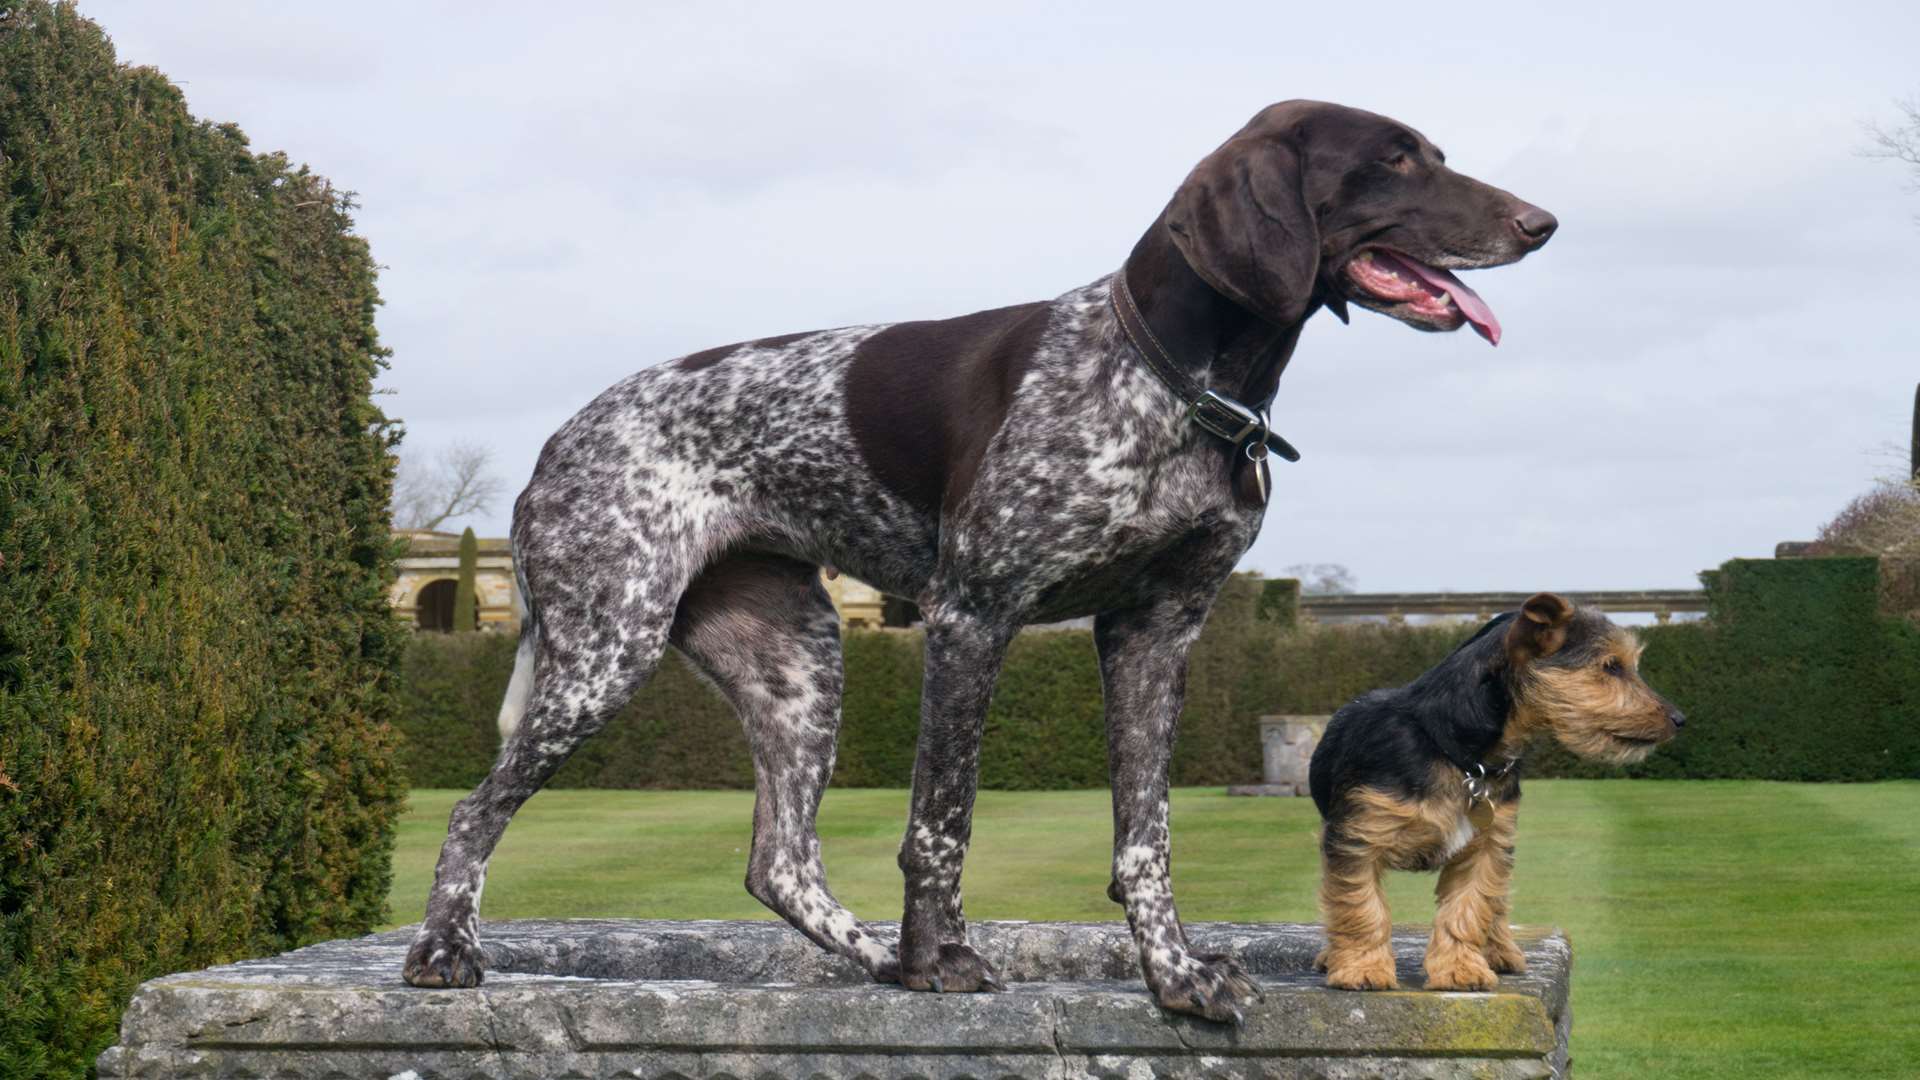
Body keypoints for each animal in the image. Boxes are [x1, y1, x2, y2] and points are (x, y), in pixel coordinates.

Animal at [405, 98, 1559, 1014]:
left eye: (1431, 152)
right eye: (1395, 160)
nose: (1542, 223)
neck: (1175, 378)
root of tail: (559, 440)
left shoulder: (1156, 634)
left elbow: (1147, 835)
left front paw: (1173, 975)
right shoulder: (972, 616)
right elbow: (942, 819)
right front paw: (943, 962)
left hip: (798, 661)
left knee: (779, 860)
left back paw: (873, 956)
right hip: (608, 651)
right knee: (473, 810)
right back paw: (444, 952)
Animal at [1305, 591, 1681, 991]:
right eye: (1611, 666)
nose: (1680, 719)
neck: (1459, 753)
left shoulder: (1486, 846)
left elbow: (1469, 908)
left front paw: (1460, 969)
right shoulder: (1358, 839)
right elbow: (1361, 906)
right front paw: (1362, 968)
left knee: (1496, 900)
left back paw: (1499, 950)